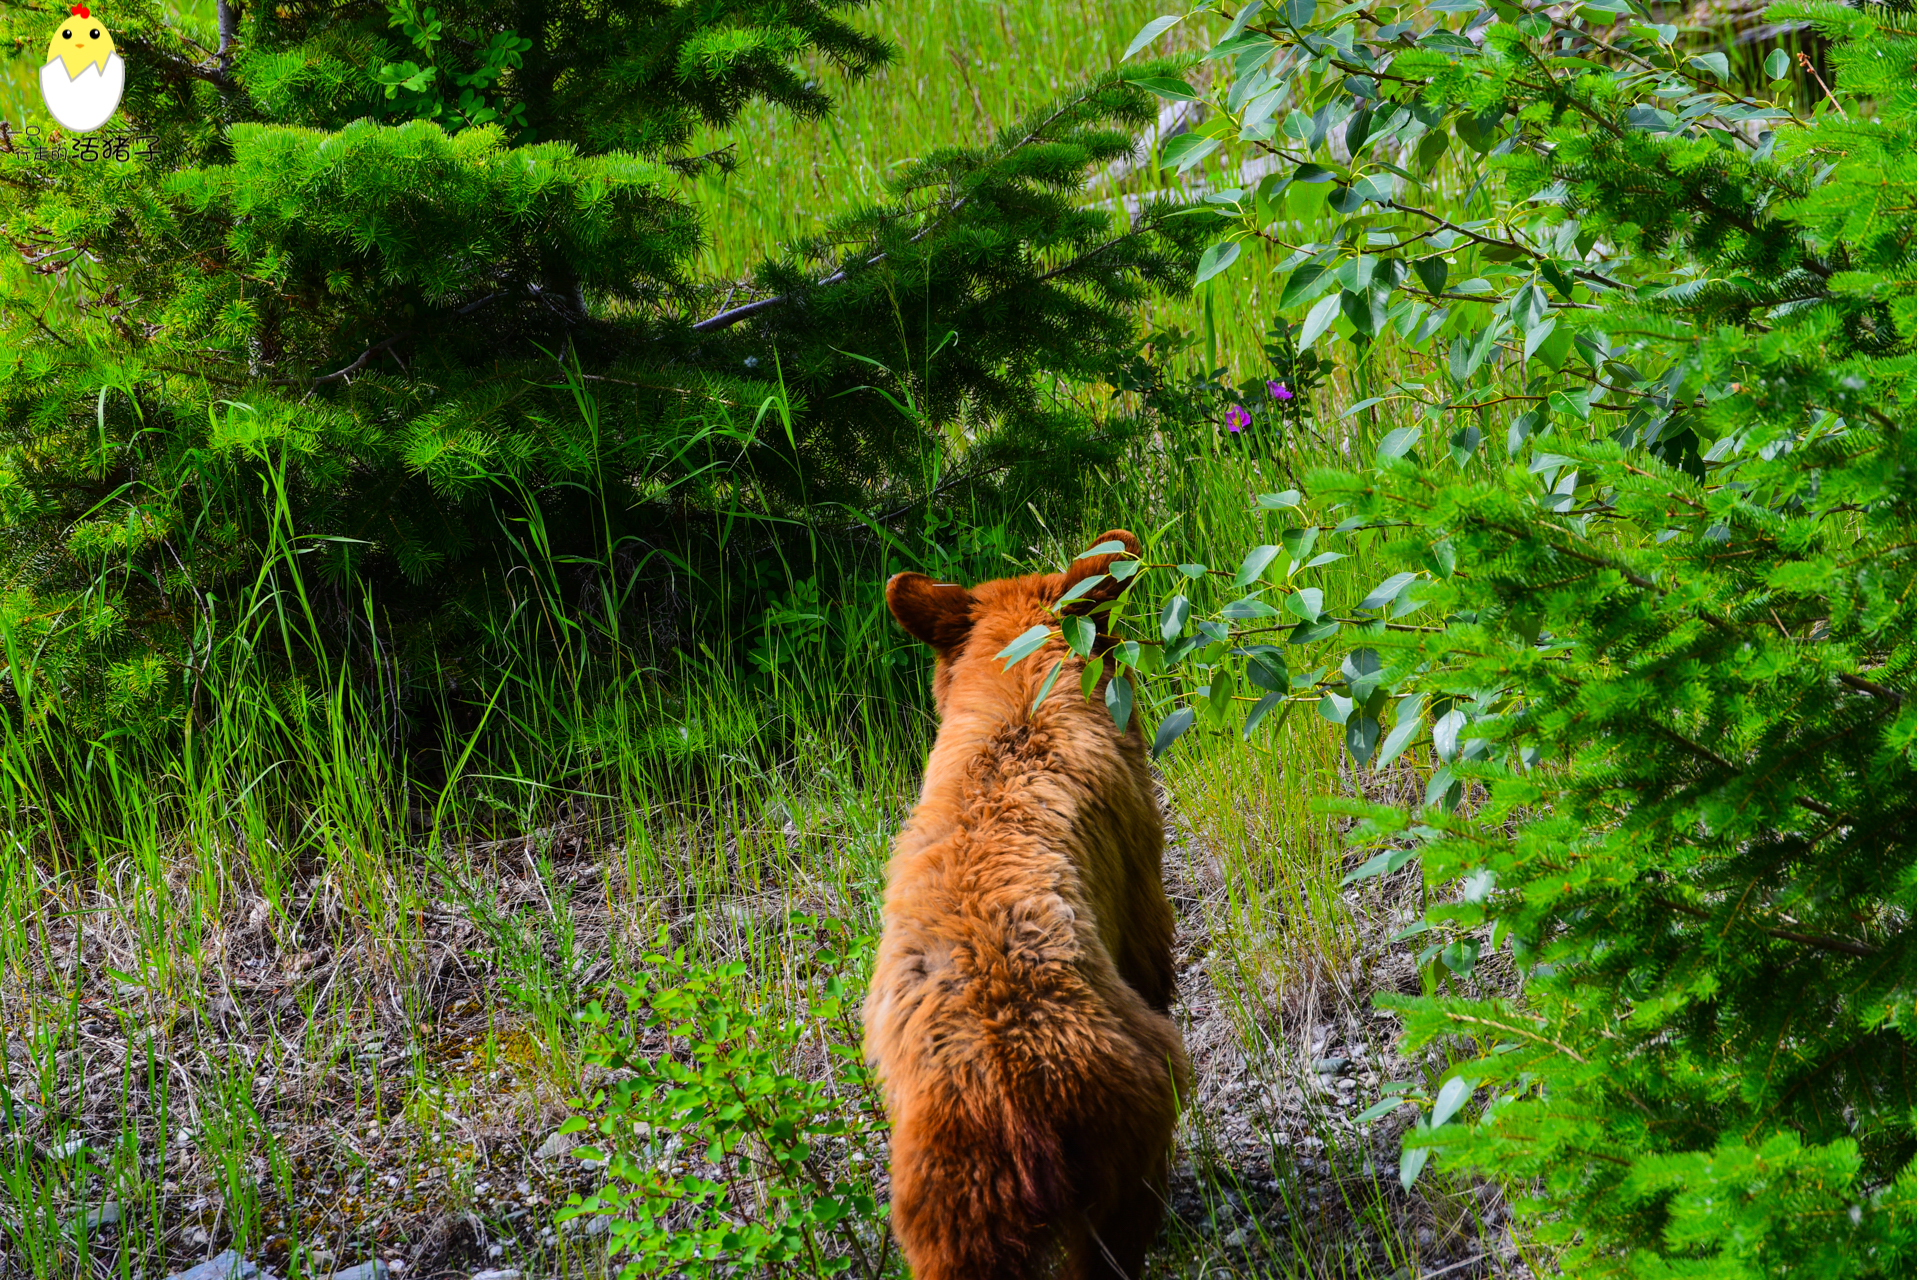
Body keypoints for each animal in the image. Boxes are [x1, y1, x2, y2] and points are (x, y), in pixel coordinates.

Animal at [866, 528, 1180, 1280]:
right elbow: (1152, 949)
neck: (1018, 688)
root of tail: (1014, 1094)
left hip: (947, 1201)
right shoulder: (1136, 852)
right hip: (1126, 1117)